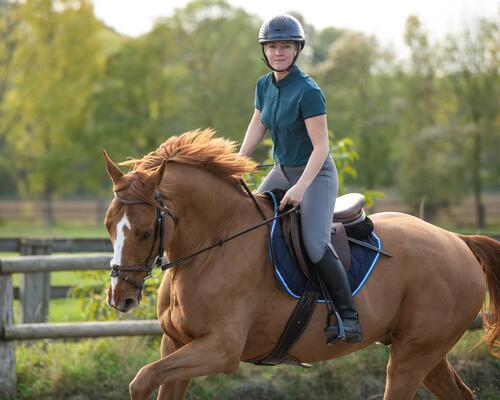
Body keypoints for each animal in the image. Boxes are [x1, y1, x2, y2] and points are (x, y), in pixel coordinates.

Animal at [102, 130, 500, 400]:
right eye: (108, 225)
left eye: (142, 232)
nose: (120, 298)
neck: (213, 246)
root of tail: (457, 239)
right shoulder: (175, 344)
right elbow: (148, 379)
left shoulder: (220, 350)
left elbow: (142, 379)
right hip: (424, 352)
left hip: (413, 356)